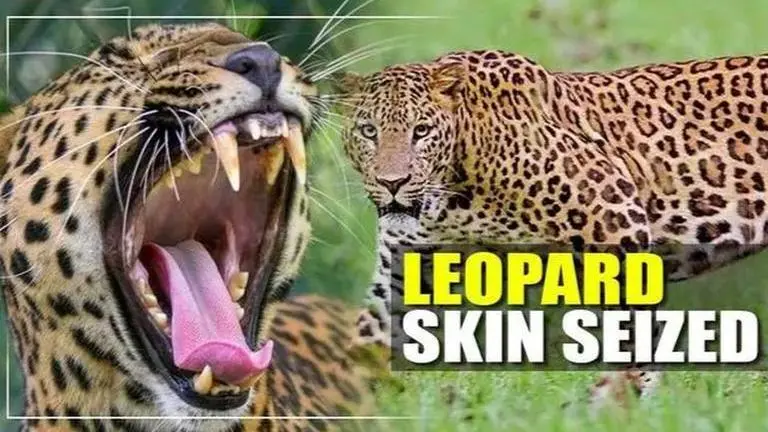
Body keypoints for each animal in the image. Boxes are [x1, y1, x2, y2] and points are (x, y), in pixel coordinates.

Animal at [336, 49, 768, 406]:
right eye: (369, 131)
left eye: (421, 131)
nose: (393, 182)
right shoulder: (402, 268)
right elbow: (370, 334)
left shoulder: (614, 220)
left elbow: (632, 326)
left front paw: (623, 399)